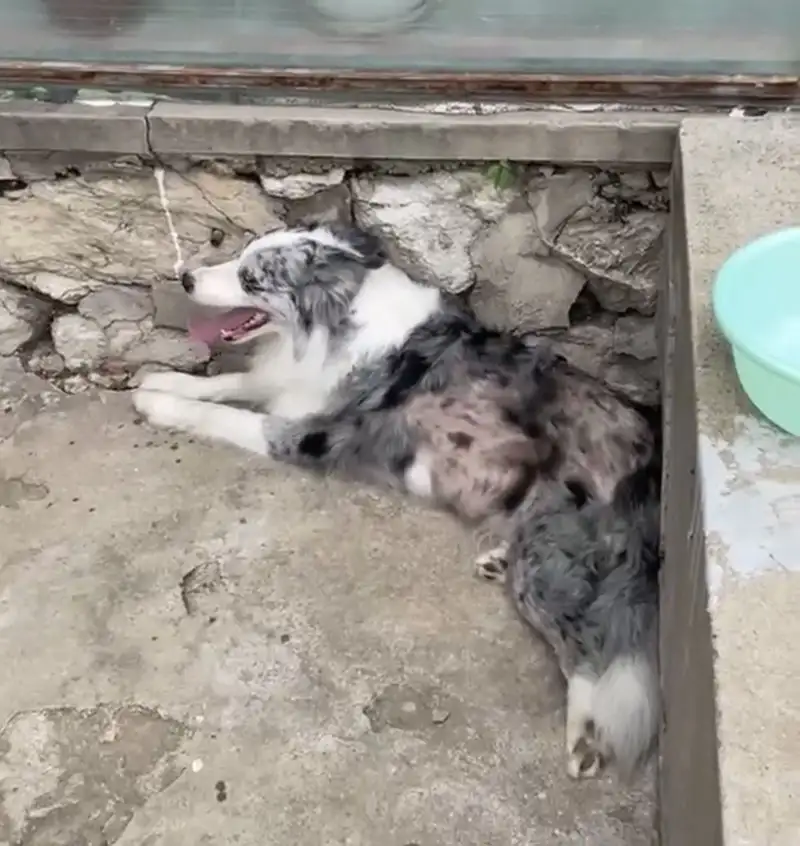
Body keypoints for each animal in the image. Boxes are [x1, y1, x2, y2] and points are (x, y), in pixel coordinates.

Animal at [136, 222, 664, 780]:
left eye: (250, 279)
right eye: (239, 256)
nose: (187, 278)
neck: (337, 318)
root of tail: (651, 465)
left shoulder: (311, 436)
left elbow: (220, 413)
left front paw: (158, 402)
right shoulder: (288, 384)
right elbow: (228, 381)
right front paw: (165, 378)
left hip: (554, 558)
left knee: (594, 647)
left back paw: (586, 735)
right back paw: (499, 559)